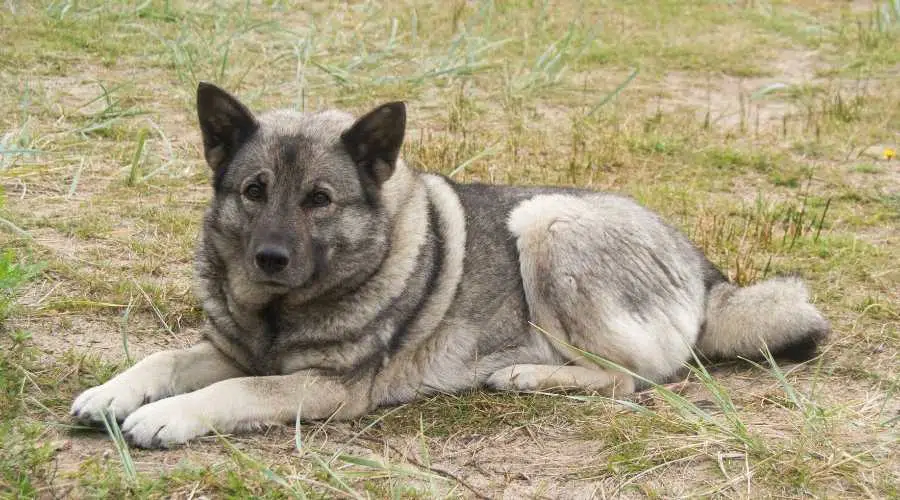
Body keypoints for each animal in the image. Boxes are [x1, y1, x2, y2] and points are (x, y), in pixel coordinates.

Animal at [70, 83, 828, 450]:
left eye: (319, 199)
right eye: (254, 191)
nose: (270, 258)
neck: (278, 315)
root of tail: (705, 269)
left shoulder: (325, 388)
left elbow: (233, 391)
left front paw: (167, 418)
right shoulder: (230, 349)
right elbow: (164, 359)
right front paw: (111, 393)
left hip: (547, 221)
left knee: (634, 378)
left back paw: (526, 375)